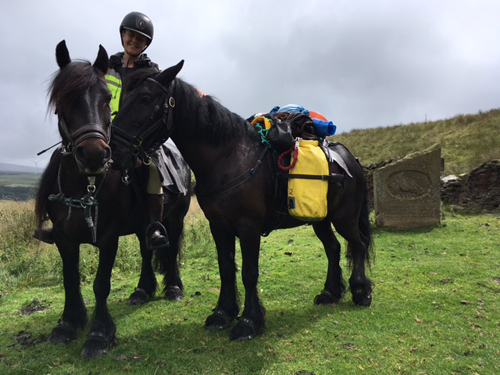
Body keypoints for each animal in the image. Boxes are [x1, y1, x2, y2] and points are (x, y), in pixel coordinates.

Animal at [34, 42, 191, 360]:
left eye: (106, 98)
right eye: (63, 97)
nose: (95, 154)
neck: (85, 186)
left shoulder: (108, 238)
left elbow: (101, 284)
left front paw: (99, 334)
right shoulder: (63, 238)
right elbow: (70, 278)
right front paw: (68, 323)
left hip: (176, 218)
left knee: (169, 250)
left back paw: (172, 288)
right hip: (145, 225)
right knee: (147, 249)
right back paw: (142, 291)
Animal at [112, 61, 372, 344]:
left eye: (146, 99)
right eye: (123, 97)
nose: (113, 147)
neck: (228, 158)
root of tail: (350, 159)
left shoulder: (248, 228)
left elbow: (249, 273)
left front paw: (248, 322)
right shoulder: (219, 227)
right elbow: (226, 269)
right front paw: (222, 313)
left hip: (344, 217)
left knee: (358, 245)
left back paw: (361, 291)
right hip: (320, 219)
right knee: (333, 248)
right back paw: (330, 293)